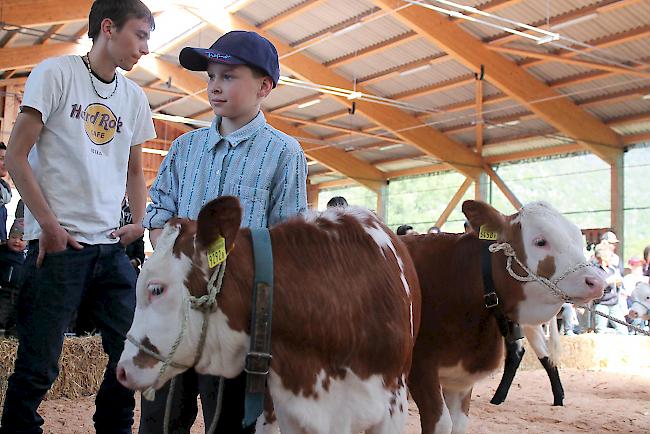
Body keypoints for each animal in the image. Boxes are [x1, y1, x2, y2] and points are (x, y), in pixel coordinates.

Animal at [402, 201, 604, 434]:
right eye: (540, 241)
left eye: (578, 238)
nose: (597, 282)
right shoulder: (421, 368)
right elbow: (442, 422)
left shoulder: (459, 378)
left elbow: (458, 424)